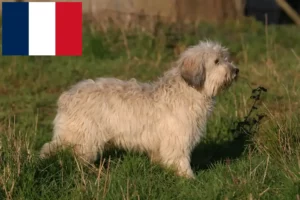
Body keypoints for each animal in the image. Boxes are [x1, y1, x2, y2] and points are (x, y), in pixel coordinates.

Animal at [39, 40, 239, 178]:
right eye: (217, 61)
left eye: (226, 58)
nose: (236, 70)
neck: (188, 90)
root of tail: (68, 95)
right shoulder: (177, 140)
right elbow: (180, 160)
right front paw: (189, 178)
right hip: (82, 137)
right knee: (58, 150)